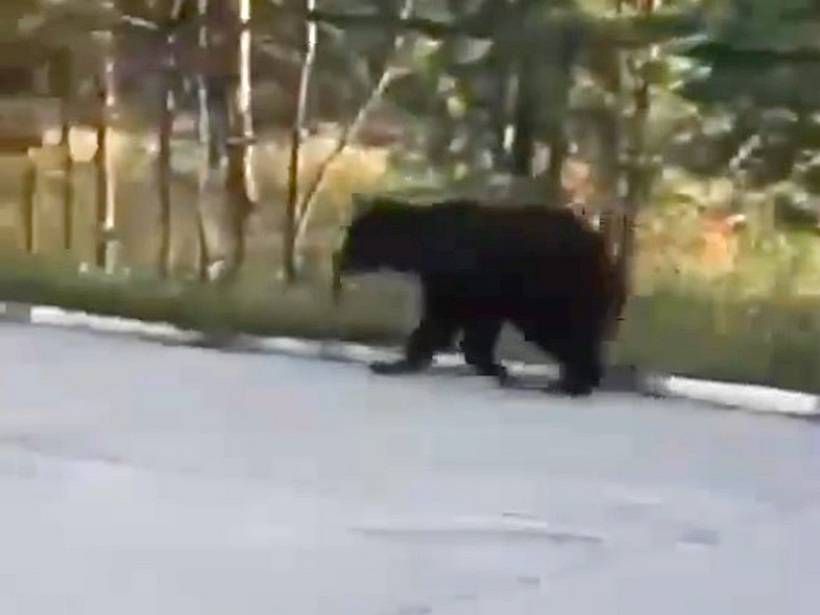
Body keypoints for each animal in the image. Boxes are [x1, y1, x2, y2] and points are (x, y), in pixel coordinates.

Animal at [334, 197, 625, 396]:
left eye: (353, 235)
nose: (340, 260)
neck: (427, 249)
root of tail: (604, 253)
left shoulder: (470, 279)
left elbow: (448, 320)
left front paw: (391, 363)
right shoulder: (454, 284)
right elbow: (456, 324)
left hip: (558, 288)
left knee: (564, 331)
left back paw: (571, 383)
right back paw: (576, 379)